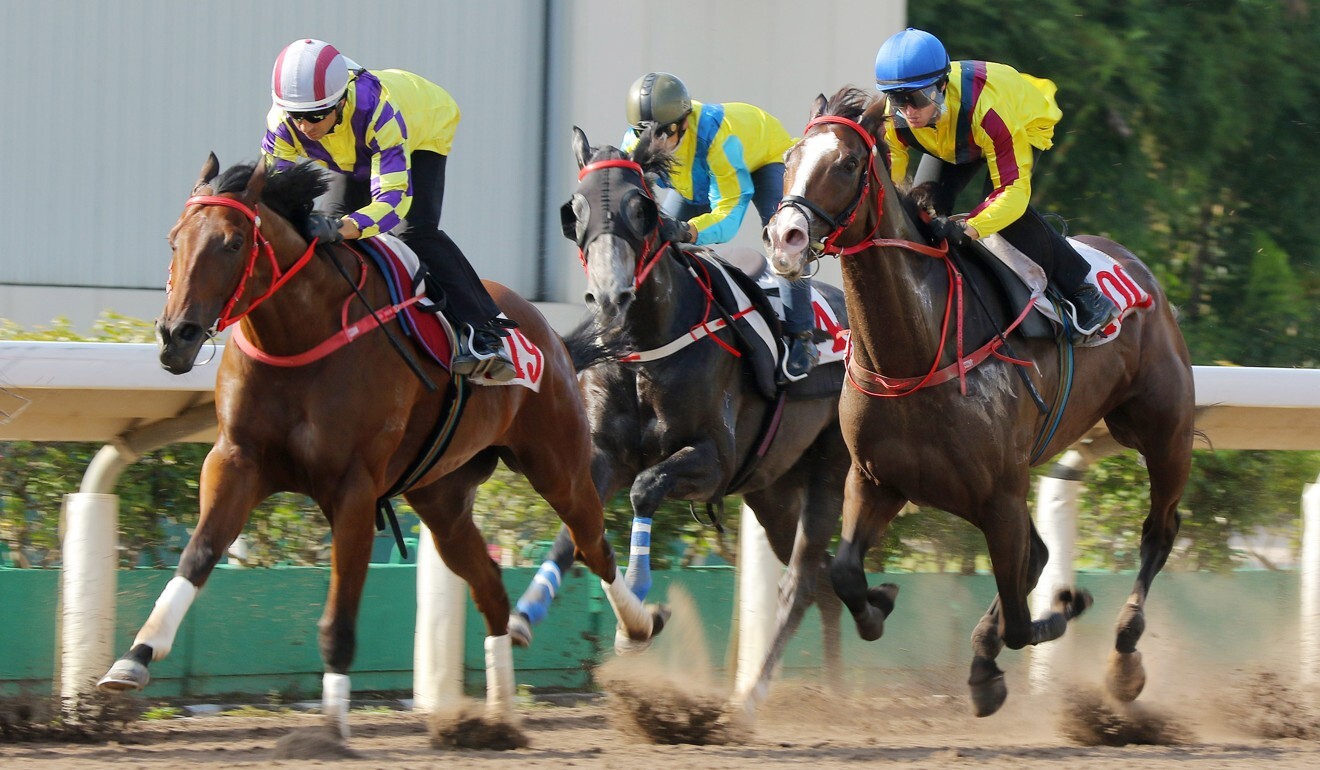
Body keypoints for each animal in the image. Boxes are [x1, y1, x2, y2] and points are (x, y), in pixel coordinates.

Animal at [95, 153, 660, 739]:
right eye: (173, 240)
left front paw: (329, 732)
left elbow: (340, 617)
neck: (300, 334)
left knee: (592, 543)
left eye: (232, 242)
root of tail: (547, 332)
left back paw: (639, 627)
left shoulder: (354, 488)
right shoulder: (236, 461)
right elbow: (199, 553)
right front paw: (134, 657)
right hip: (441, 499)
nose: (175, 337)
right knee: (491, 588)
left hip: (557, 465)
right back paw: (499, 720)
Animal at [509, 128, 850, 718]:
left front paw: (638, 616)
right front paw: (528, 609)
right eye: (575, 209)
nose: (609, 296)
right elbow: (579, 525)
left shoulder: (714, 461)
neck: (648, 344)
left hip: (829, 468)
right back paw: (833, 687)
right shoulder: (605, 454)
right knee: (823, 581)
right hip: (774, 492)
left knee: (804, 580)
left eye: (639, 207)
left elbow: (645, 489)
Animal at [760, 90, 1203, 718]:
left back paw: (1124, 655)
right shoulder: (876, 480)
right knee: (1040, 554)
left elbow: (1021, 619)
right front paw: (882, 603)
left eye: (846, 163)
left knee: (1158, 531)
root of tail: (1143, 275)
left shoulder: (998, 495)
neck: (915, 353)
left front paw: (1057, 615)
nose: (785, 238)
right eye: (791, 157)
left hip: (1164, 431)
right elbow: (845, 573)